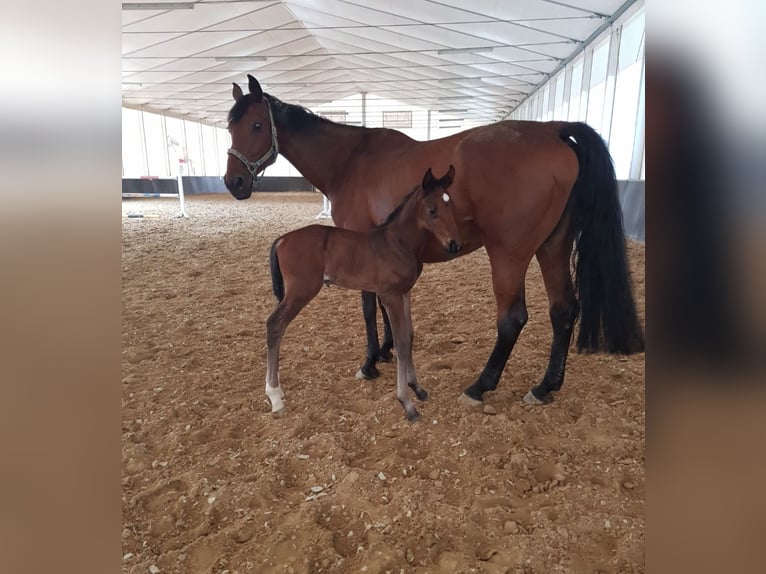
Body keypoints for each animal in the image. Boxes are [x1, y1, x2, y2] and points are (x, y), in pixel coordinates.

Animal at [265, 166, 462, 421]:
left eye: (451, 206)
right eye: (432, 210)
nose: (455, 244)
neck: (398, 243)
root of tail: (282, 240)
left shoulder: (405, 293)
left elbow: (408, 336)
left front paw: (417, 388)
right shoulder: (390, 296)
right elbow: (400, 342)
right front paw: (406, 403)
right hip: (300, 291)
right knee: (274, 324)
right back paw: (275, 396)